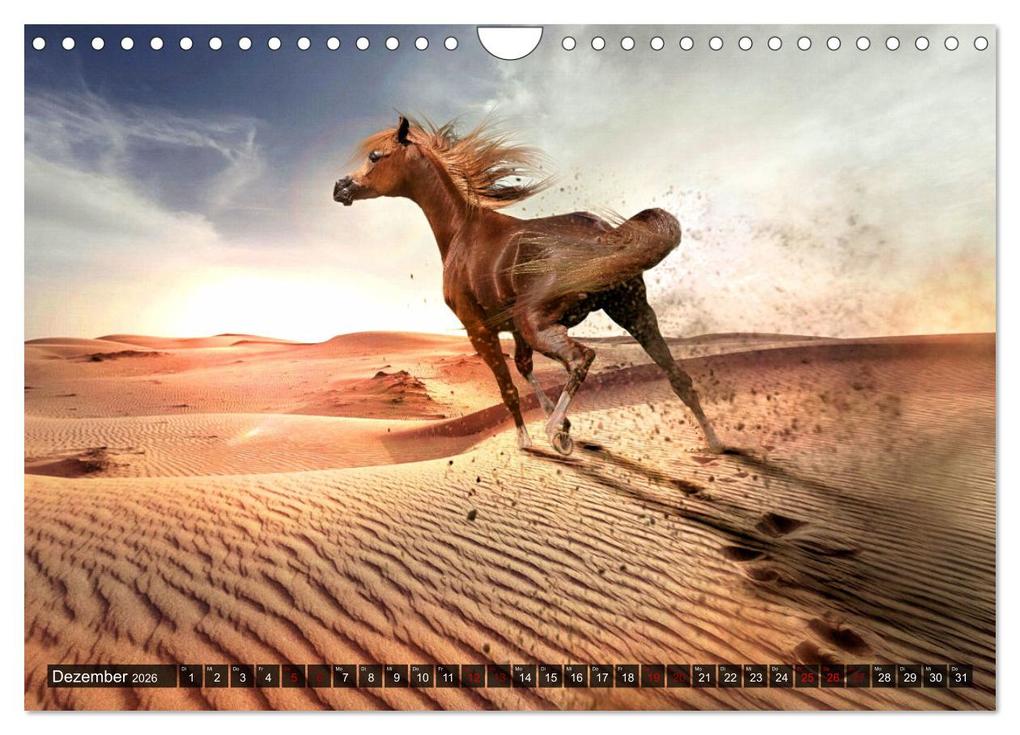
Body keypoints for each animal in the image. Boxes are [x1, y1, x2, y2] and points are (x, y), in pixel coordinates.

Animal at [334, 115, 723, 456]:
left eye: (374, 156)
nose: (341, 187)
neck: (462, 229)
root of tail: (603, 233)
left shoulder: (480, 330)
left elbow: (508, 387)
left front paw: (533, 437)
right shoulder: (514, 330)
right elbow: (524, 368)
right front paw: (564, 426)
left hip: (541, 323)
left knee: (582, 358)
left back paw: (553, 433)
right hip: (632, 312)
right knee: (677, 376)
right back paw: (715, 443)